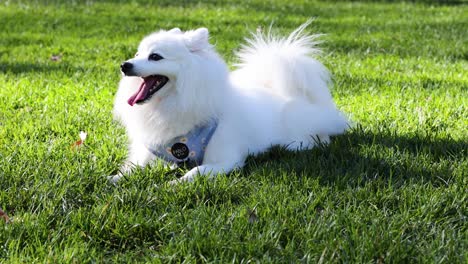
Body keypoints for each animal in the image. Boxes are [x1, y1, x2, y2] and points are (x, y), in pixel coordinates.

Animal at [110, 21, 348, 184]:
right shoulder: (151, 149)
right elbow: (133, 166)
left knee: (320, 137)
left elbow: (195, 171)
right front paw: (115, 178)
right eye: (137, 54)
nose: (125, 65)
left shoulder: (227, 159)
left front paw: (173, 184)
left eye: (155, 57)